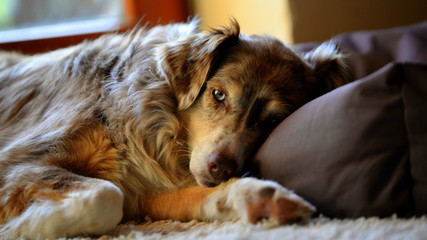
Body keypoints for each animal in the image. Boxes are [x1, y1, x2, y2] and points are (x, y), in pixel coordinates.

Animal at [0, 19, 350, 238]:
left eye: (274, 121)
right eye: (218, 94)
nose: (221, 168)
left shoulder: (145, 193)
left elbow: (202, 197)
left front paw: (259, 197)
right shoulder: (20, 162)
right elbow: (106, 197)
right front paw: (22, 228)